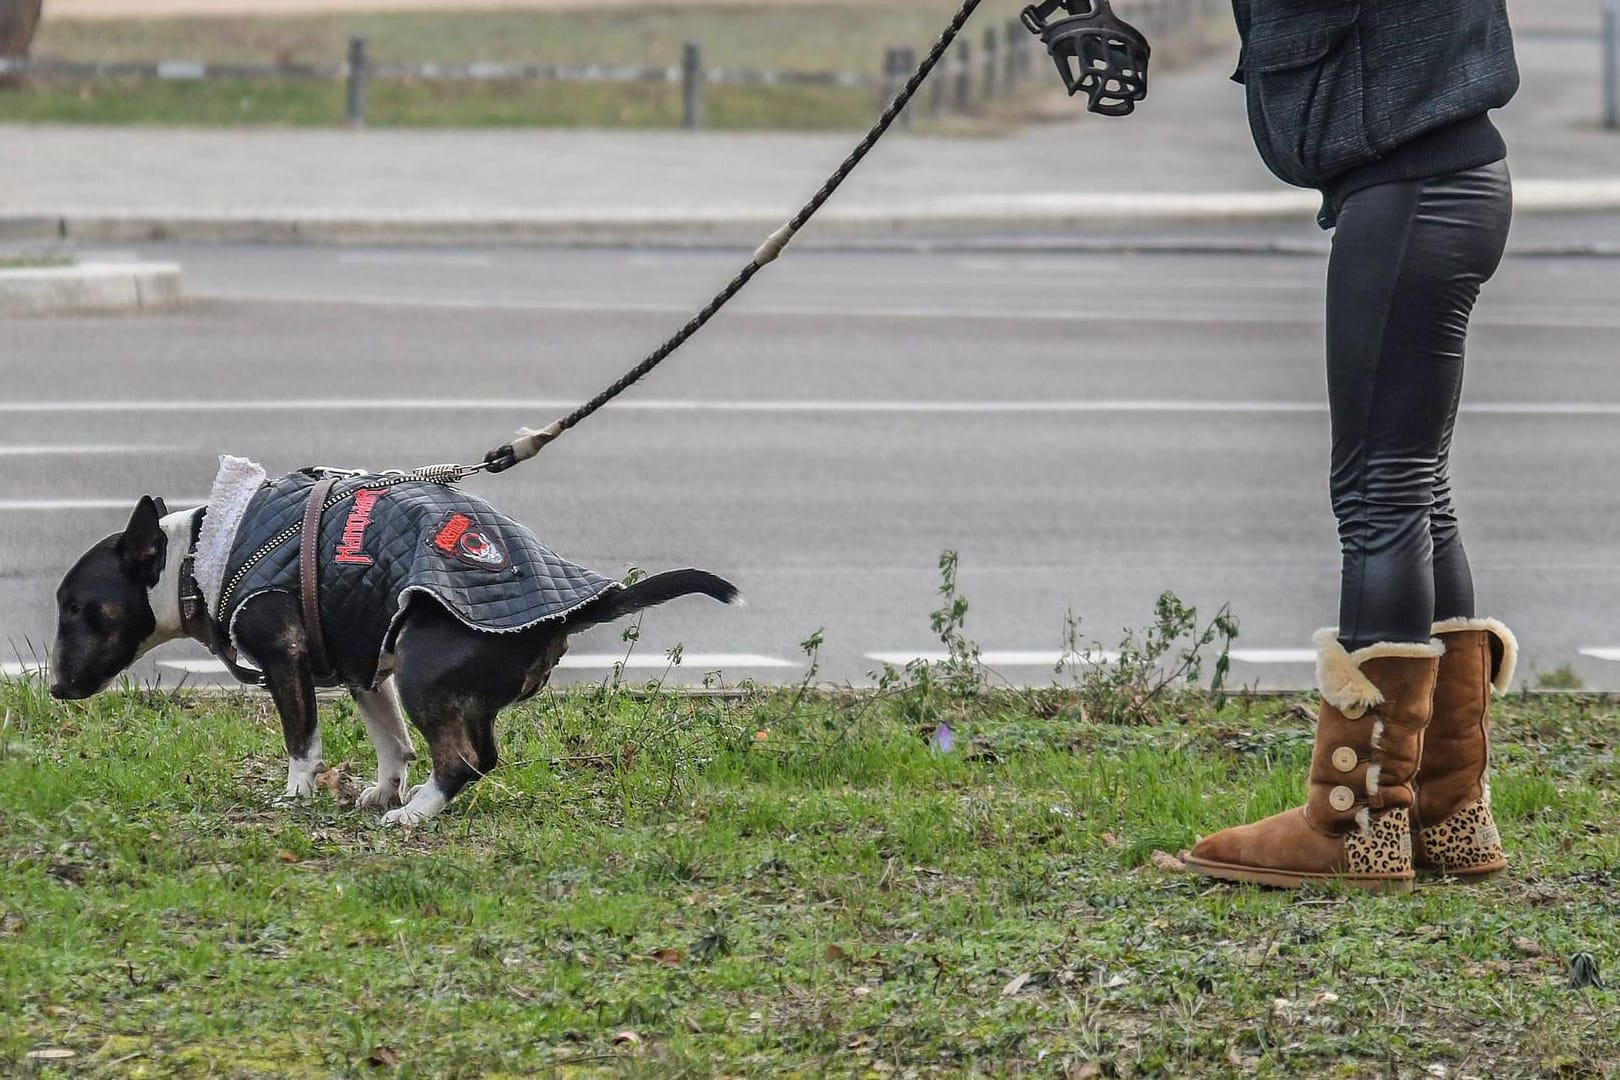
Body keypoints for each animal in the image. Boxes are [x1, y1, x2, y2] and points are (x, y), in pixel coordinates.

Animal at [47, 459, 738, 829]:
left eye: (78, 608)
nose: (53, 687)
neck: (194, 559)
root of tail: (565, 610)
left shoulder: (287, 661)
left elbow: (302, 742)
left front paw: (297, 796)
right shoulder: (361, 667)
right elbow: (390, 741)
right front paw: (382, 788)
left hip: (421, 670)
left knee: (464, 760)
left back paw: (415, 815)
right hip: (438, 680)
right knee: (478, 753)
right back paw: (413, 803)